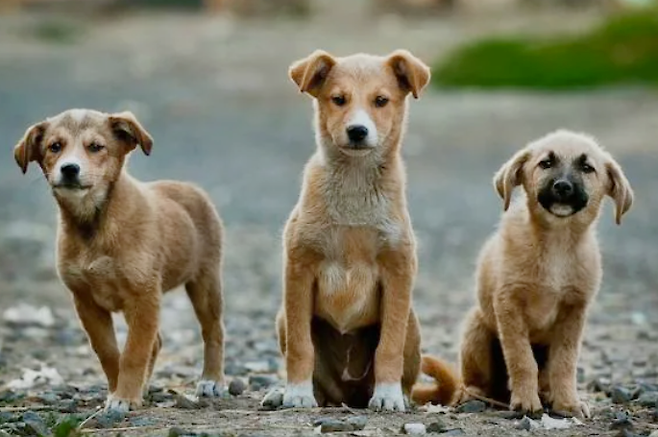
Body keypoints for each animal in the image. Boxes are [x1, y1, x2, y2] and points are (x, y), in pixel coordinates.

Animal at [12, 108, 227, 408]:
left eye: (95, 147)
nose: (69, 168)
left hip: (205, 281)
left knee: (213, 331)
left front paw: (125, 397)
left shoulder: (144, 295)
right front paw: (118, 391)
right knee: (157, 342)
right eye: (55, 147)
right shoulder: (86, 301)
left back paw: (212, 380)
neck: (94, 224)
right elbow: (109, 352)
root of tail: (189, 187)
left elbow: (134, 352)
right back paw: (145, 387)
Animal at [270, 49, 428, 410]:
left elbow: (389, 346)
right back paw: (288, 393)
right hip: (283, 317)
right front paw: (296, 393)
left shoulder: (398, 270)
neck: (355, 184)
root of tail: (348, 396)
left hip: (412, 322)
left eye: (381, 101)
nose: (357, 131)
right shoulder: (299, 268)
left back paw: (399, 395)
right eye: (338, 99)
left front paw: (388, 395)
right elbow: (301, 347)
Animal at [412, 130, 632, 418]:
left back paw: (547, 395)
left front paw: (567, 403)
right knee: (475, 382)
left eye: (587, 168)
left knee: (545, 376)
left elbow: (565, 363)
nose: (563, 186)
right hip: (476, 329)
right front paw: (526, 402)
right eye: (545, 163)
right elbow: (521, 359)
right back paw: (476, 396)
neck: (557, 243)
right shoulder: (509, 304)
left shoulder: (574, 311)